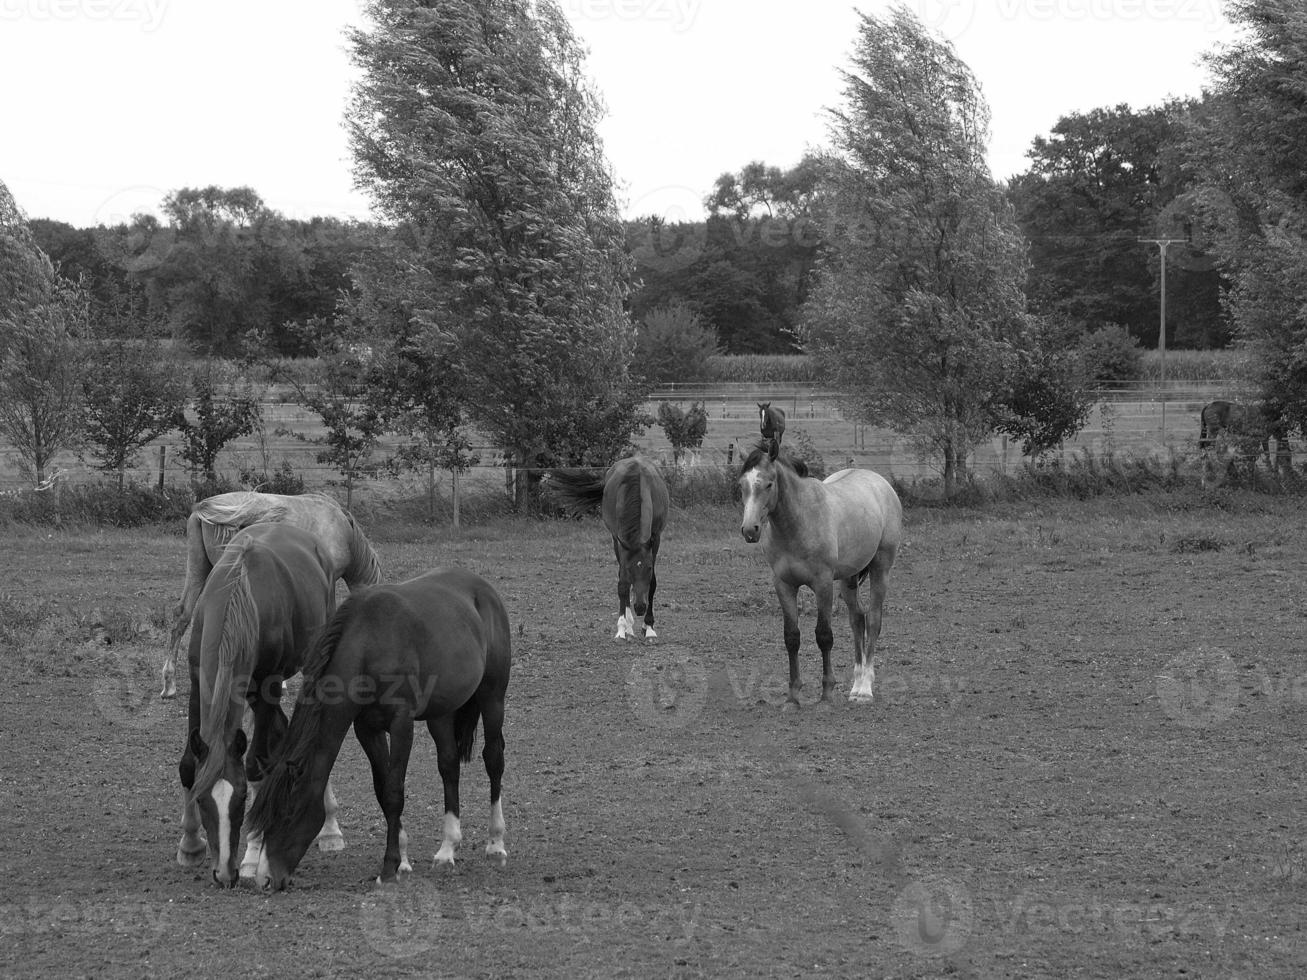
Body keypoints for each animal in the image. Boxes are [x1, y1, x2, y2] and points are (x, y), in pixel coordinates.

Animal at [175, 525, 347, 888]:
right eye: (202, 799)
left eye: (241, 799)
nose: (224, 873)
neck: (237, 596)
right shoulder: (198, 681)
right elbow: (188, 764)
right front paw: (190, 845)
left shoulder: (267, 686)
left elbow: (256, 766)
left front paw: (252, 858)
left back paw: (329, 829)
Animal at [247, 564, 512, 893]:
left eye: (287, 814)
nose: (266, 879)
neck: (368, 647)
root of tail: (483, 588)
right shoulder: (366, 729)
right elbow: (383, 790)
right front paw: (403, 861)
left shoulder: (401, 725)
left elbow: (395, 791)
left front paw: (388, 867)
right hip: (441, 712)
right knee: (449, 765)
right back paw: (447, 849)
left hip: (493, 697)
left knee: (494, 759)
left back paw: (496, 844)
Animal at [742, 441, 904, 710]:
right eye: (741, 485)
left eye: (768, 484)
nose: (749, 530)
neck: (798, 523)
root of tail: (881, 483)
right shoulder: (784, 585)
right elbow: (792, 637)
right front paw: (792, 697)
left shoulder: (823, 584)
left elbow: (824, 635)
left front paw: (827, 694)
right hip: (848, 579)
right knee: (857, 620)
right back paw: (855, 686)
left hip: (881, 569)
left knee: (873, 620)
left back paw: (865, 690)